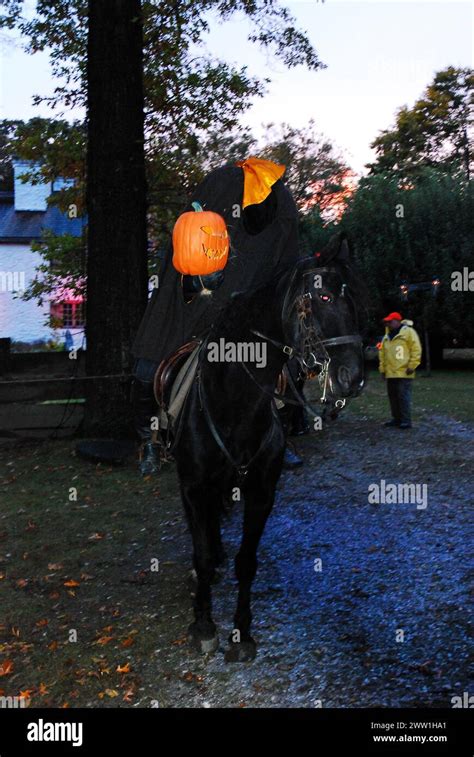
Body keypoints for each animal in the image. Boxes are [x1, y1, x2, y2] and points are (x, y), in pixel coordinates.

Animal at [170, 233, 366, 660]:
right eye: (324, 296)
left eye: (355, 299)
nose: (354, 378)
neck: (234, 403)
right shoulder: (194, 486)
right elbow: (202, 554)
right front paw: (203, 623)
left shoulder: (262, 492)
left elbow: (247, 561)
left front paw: (241, 631)